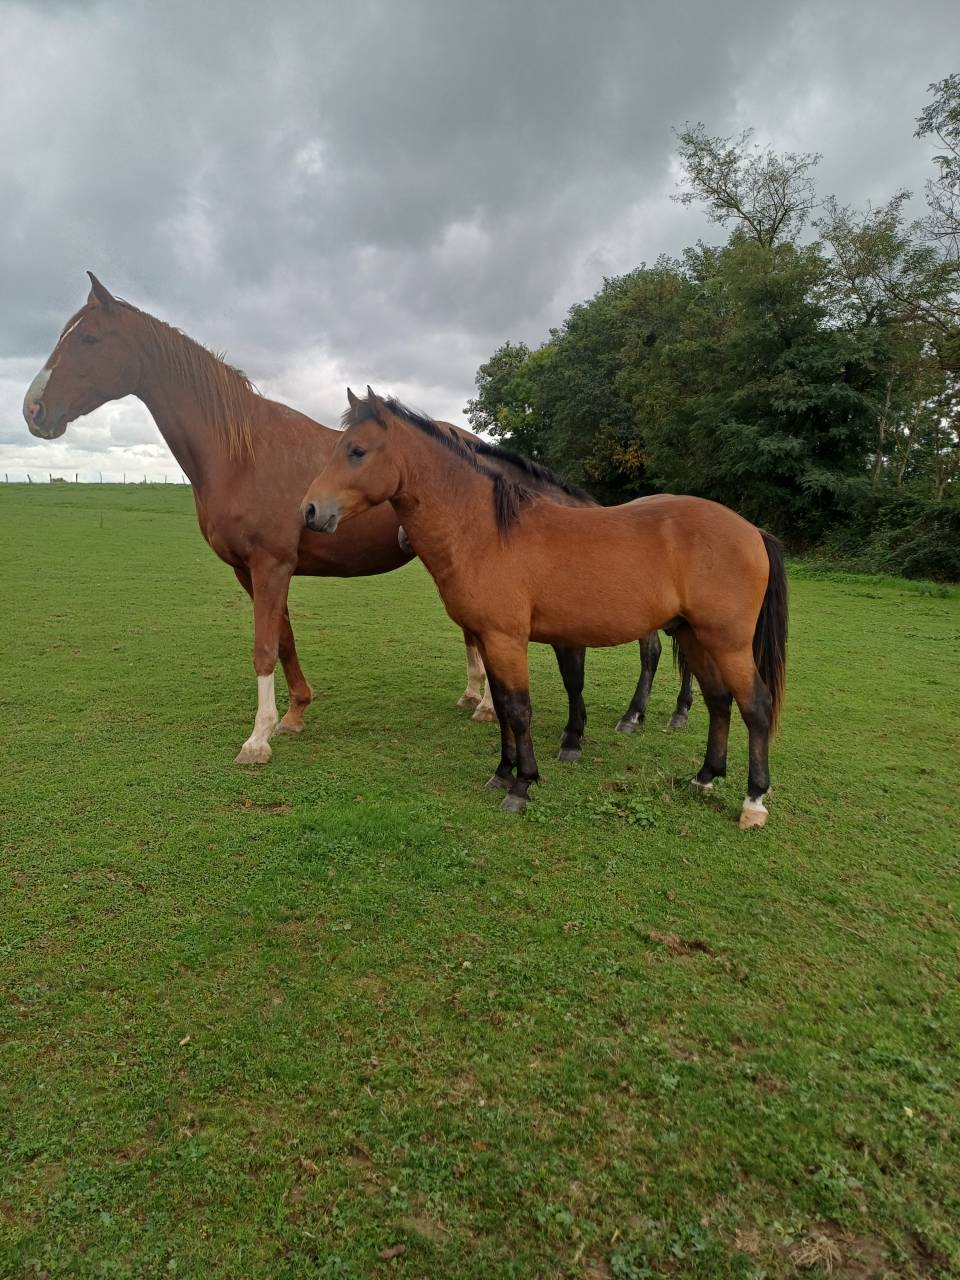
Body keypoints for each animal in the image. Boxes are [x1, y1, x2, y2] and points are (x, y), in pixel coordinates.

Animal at [301, 390, 787, 830]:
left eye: (357, 451)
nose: (309, 510)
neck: (488, 533)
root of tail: (752, 531)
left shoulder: (508, 640)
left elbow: (519, 709)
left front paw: (523, 785)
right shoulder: (489, 640)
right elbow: (502, 706)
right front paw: (502, 773)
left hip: (727, 642)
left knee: (755, 705)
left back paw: (753, 802)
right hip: (693, 634)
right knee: (719, 700)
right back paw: (704, 777)